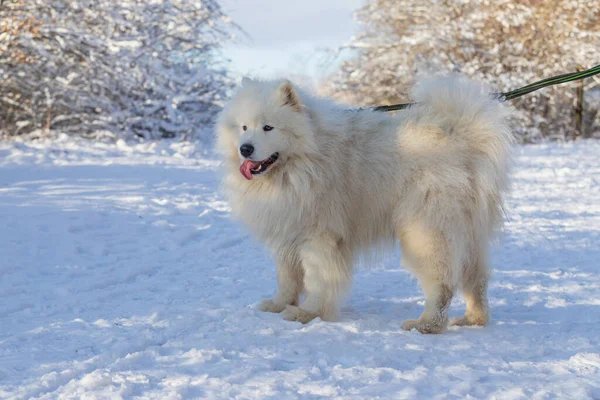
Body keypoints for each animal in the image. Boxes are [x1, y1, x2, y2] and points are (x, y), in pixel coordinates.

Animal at [216, 76, 510, 332]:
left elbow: (317, 279)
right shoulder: (289, 230)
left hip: (426, 233)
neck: (304, 160)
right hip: (468, 234)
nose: (245, 148)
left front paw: (308, 313)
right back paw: (473, 319)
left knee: (443, 284)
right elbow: (287, 278)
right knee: (476, 279)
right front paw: (278, 305)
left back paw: (426, 325)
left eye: (268, 127)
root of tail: (462, 140)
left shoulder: (318, 237)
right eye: (243, 128)